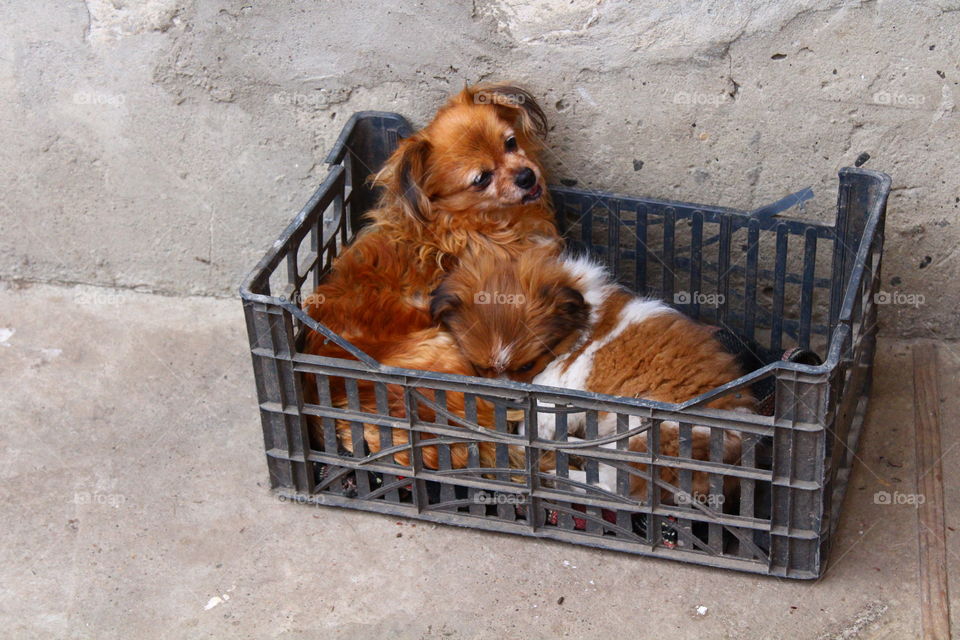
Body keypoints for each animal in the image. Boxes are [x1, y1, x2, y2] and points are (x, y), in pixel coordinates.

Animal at [432, 248, 752, 502]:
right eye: (480, 366)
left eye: (527, 365)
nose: (507, 402)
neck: (577, 333)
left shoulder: (550, 398)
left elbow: (531, 430)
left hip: (646, 433)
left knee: (613, 486)